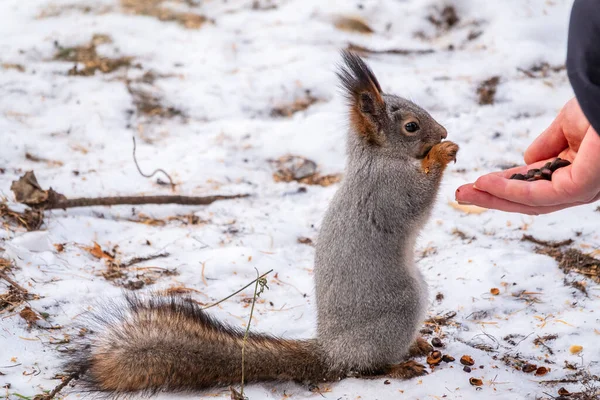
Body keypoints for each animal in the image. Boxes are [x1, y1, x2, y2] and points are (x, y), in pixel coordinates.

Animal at [63, 50, 460, 396]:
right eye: (411, 126)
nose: (442, 132)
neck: (377, 158)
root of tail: (333, 352)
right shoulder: (391, 190)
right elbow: (418, 201)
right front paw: (442, 154)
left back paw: (415, 346)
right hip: (400, 307)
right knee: (366, 368)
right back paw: (398, 365)